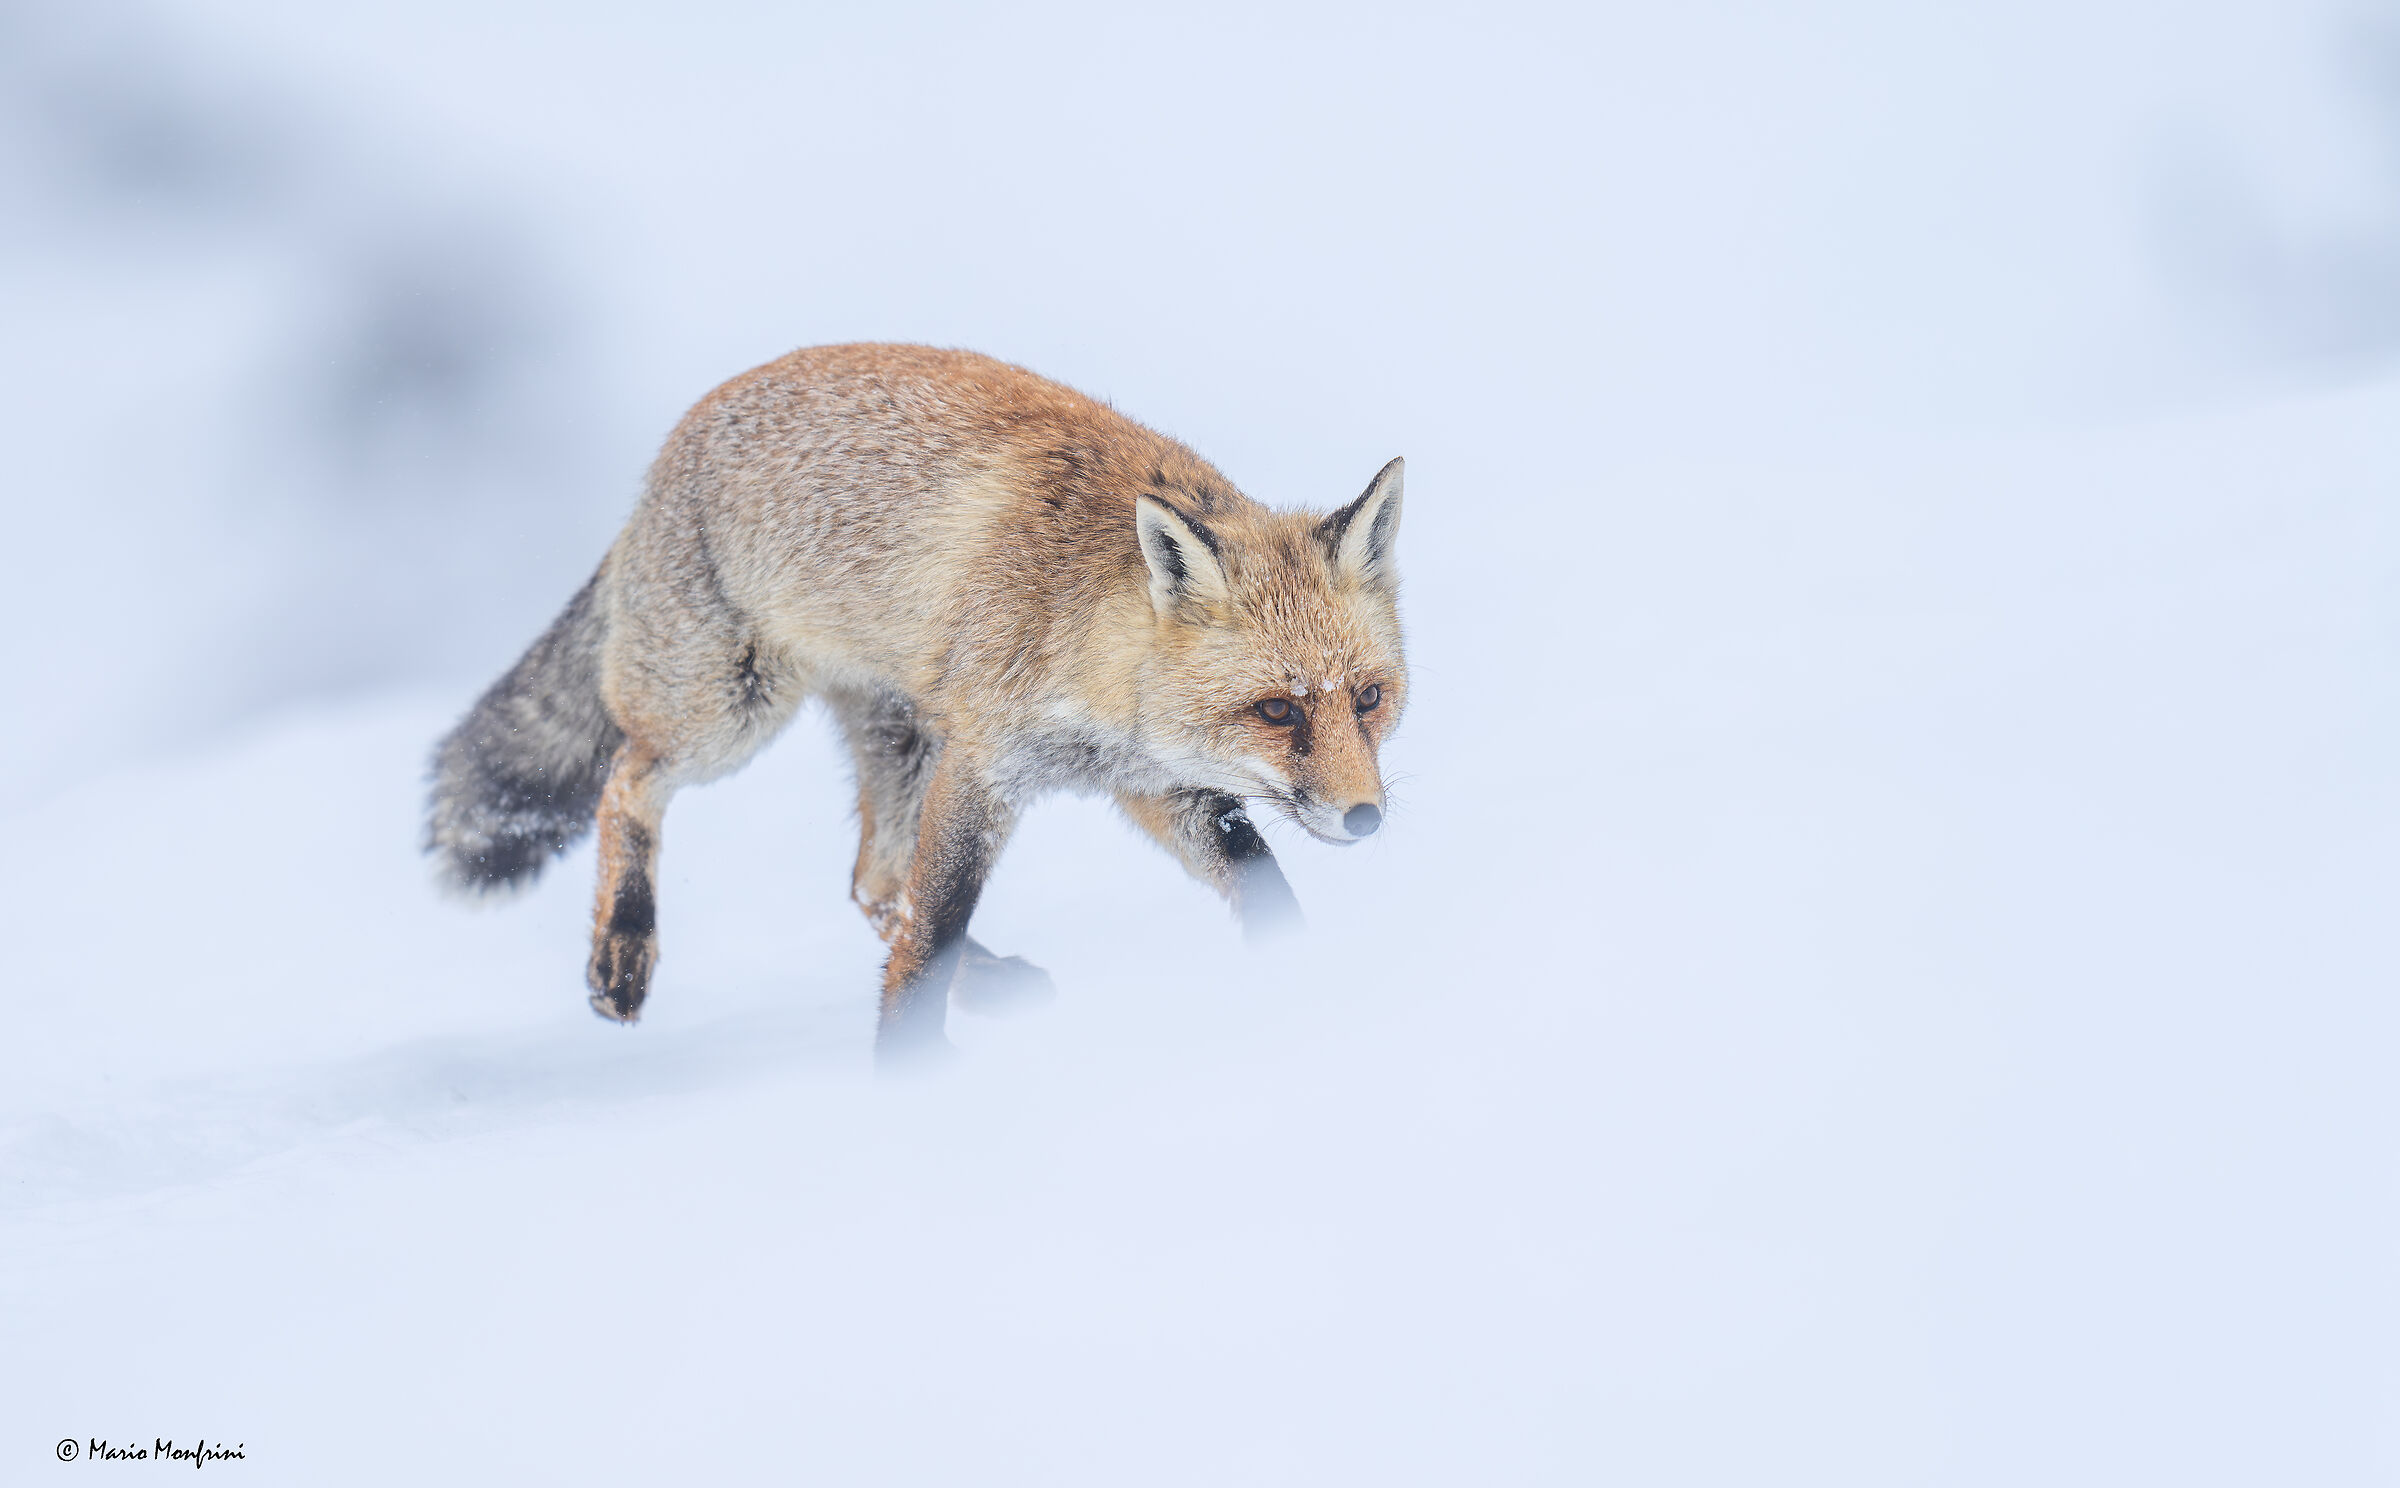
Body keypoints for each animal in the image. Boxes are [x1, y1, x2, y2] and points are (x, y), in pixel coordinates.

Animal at [426, 343, 1406, 1061]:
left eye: (1368, 698)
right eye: (1277, 710)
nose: (1366, 818)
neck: (1083, 631)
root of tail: (671, 448)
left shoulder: (1155, 785)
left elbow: (1263, 888)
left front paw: (1299, 985)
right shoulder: (984, 766)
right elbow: (933, 932)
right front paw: (905, 1074)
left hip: (896, 738)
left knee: (873, 883)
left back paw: (996, 982)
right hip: (728, 715)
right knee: (627, 781)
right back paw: (622, 950)